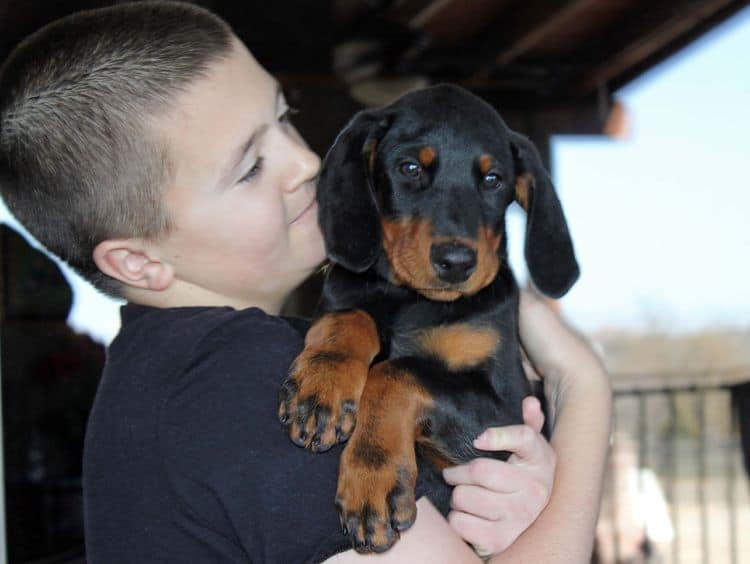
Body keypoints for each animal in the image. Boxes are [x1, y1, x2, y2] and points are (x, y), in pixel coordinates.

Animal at [280, 83, 580, 552]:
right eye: (409, 168)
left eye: (493, 179)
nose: (457, 262)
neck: (411, 299)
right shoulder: (345, 296)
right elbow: (351, 318)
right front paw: (321, 384)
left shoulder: (505, 409)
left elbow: (399, 371)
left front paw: (373, 477)